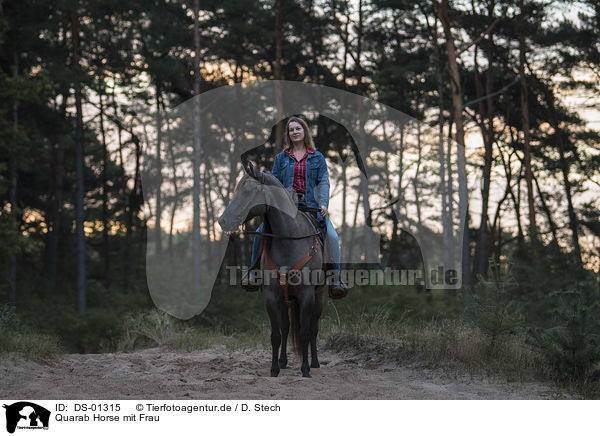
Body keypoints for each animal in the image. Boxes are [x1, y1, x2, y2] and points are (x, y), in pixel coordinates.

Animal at [218, 162, 326, 376]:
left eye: (249, 191)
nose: (223, 220)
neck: (289, 239)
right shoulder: (272, 295)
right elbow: (276, 333)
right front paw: (274, 368)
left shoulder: (307, 294)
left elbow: (304, 332)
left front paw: (305, 368)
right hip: (286, 299)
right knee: (286, 328)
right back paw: (283, 361)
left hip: (318, 297)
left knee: (313, 328)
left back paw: (315, 362)